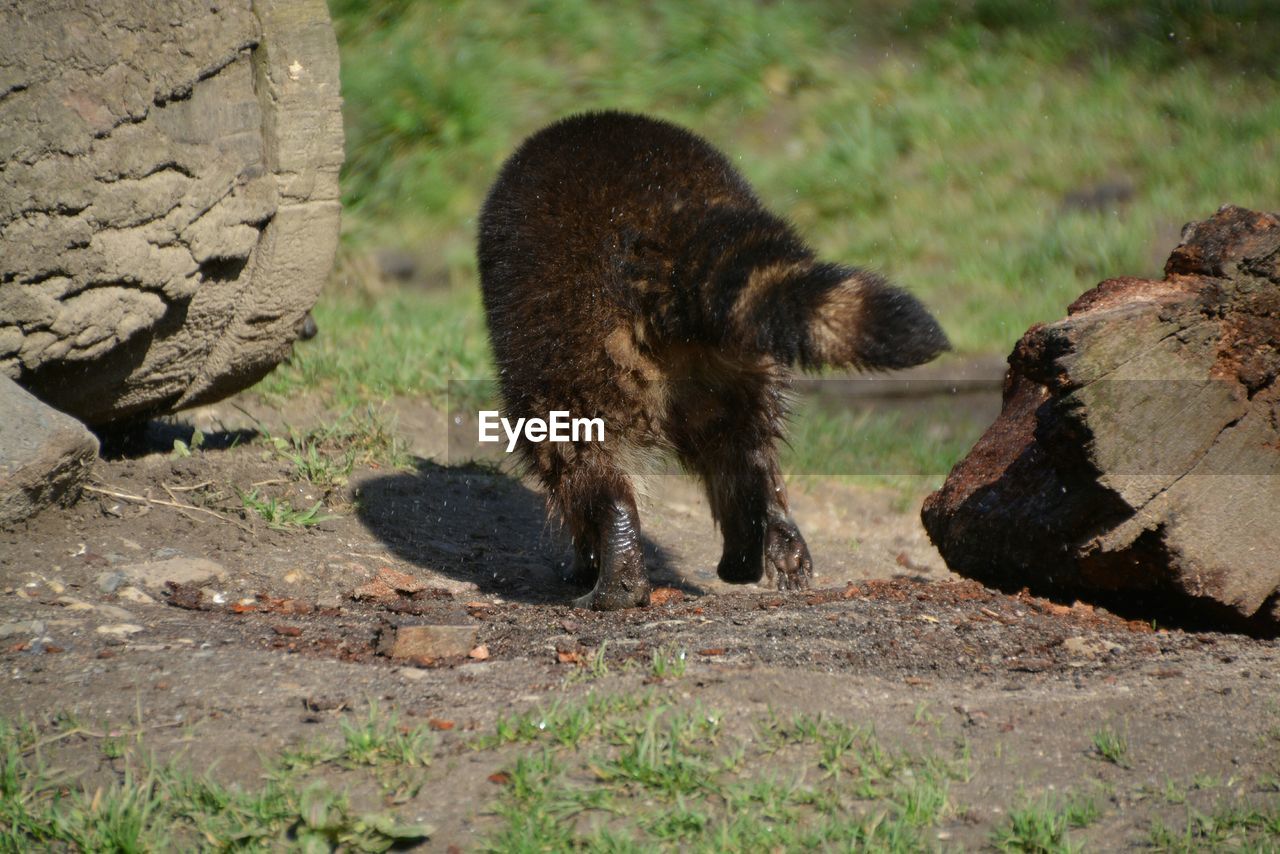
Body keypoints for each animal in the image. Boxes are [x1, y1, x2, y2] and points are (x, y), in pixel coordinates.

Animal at [481, 112, 952, 606]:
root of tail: (669, 219)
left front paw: (584, 556)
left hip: (572, 334)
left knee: (571, 444)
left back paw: (615, 559)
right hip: (730, 354)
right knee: (741, 446)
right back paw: (759, 530)